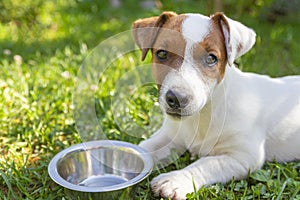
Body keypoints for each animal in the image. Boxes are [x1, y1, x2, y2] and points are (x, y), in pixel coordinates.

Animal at [132, 11, 300, 199]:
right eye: (162, 54)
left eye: (211, 58)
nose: (177, 98)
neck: (203, 115)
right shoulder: (170, 136)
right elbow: (144, 148)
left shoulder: (243, 157)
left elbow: (207, 163)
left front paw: (175, 180)